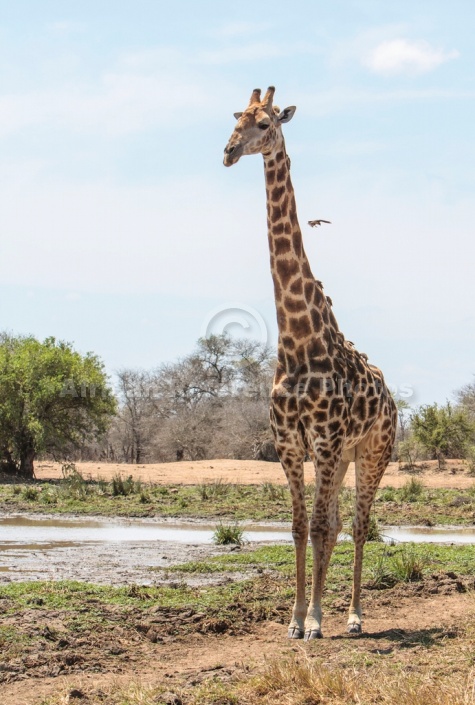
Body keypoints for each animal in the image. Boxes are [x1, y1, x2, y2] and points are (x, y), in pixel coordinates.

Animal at [223, 86, 398, 640]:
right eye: (236, 119)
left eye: (265, 123)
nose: (228, 152)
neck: (298, 342)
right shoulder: (289, 444)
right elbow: (302, 527)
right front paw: (295, 620)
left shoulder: (323, 441)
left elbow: (320, 527)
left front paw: (318, 620)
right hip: (342, 458)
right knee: (339, 523)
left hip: (371, 453)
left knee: (358, 525)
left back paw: (355, 616)